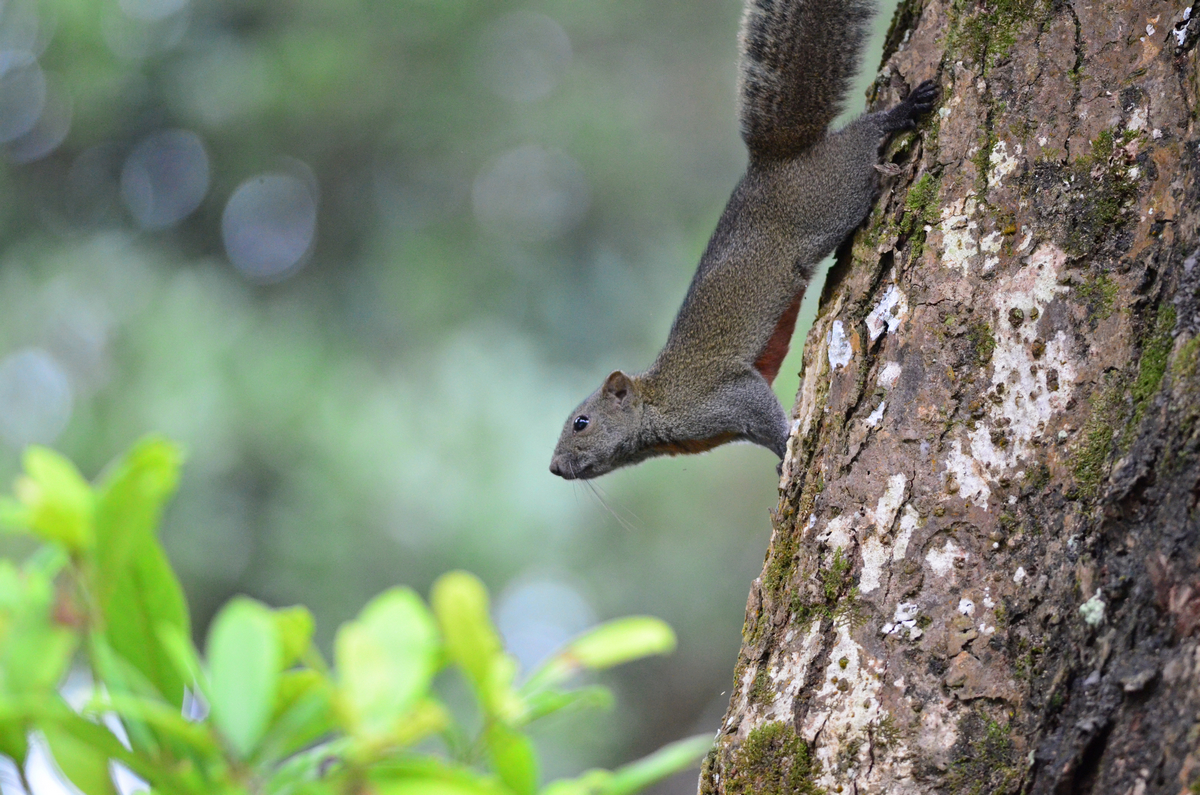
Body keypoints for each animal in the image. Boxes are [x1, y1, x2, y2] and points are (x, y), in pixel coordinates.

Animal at [549, 0, 936, 480]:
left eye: (582, 423)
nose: (554, 467)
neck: (657, 404)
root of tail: (774, 164)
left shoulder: (722, 398)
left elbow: (760, 409)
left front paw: (789, 445)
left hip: (831, 193)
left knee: (862, 138)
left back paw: (900, 111)